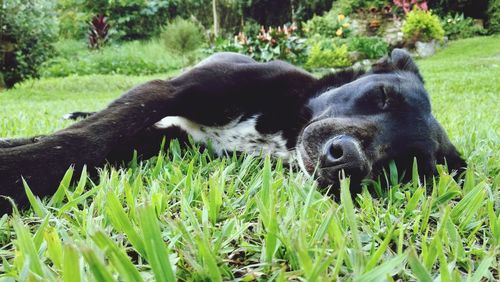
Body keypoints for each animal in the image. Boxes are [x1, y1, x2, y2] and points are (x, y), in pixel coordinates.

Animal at [0, 49, 464, 214]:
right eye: (382, 96)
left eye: (402, 166)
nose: (347, 160)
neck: (284, 129)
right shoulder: (167, 93)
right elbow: (84, 140)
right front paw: (16, 175)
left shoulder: (166, 137)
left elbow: (92, 145)